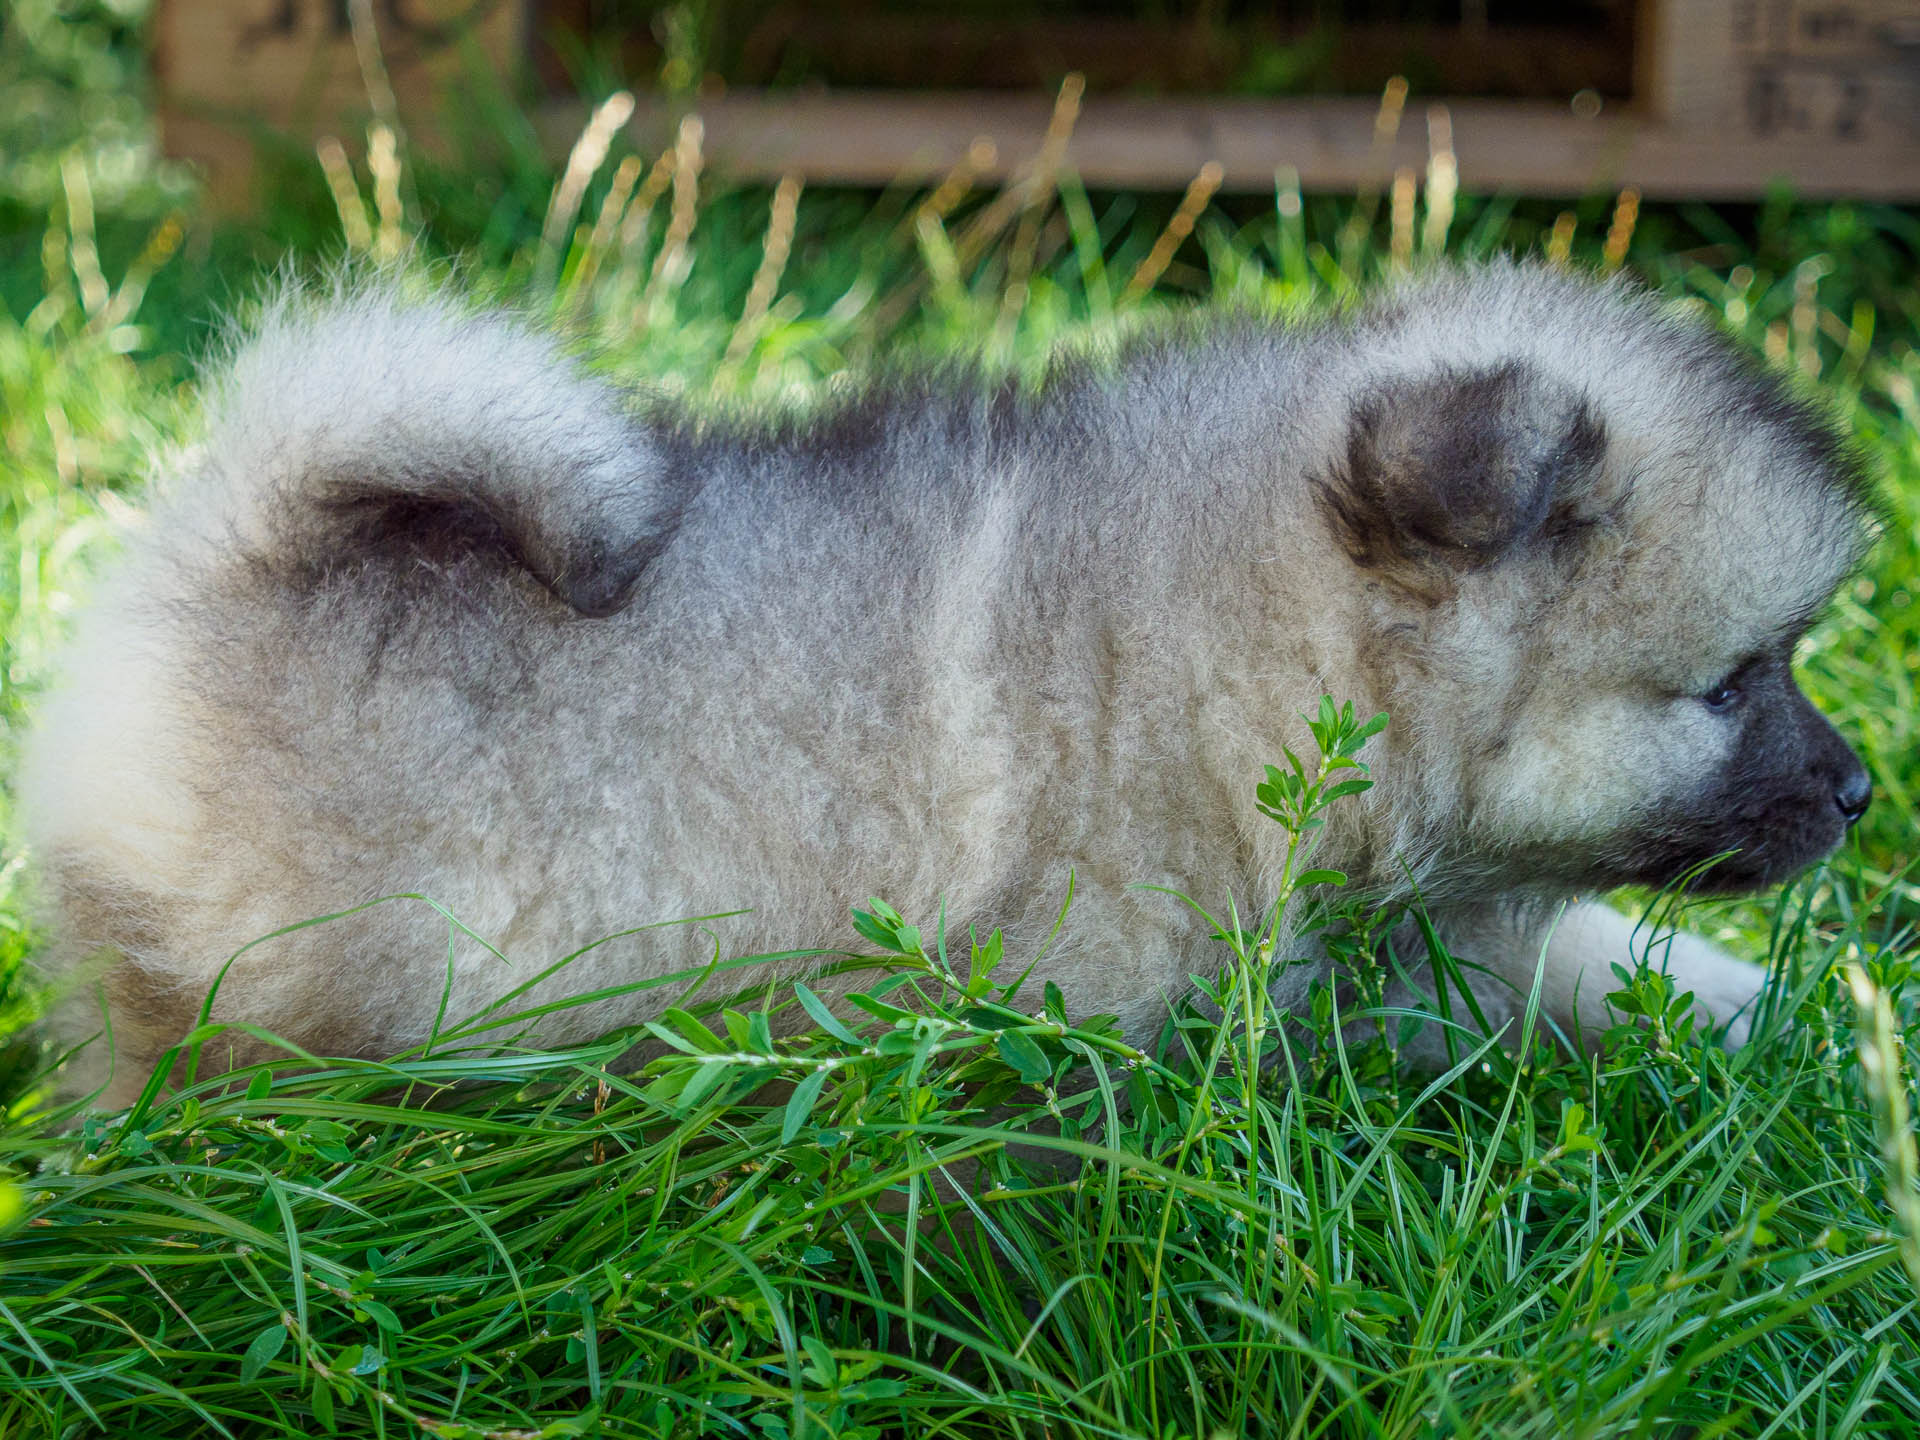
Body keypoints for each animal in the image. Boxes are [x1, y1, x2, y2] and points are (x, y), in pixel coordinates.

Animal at [22, 264, 1866, 1113]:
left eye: (1787, 663)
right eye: (1730, 685)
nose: (1859, 791)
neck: (1264, 657)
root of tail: (234, 541)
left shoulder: (1425, 939)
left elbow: (1595, 955)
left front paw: (1797, 1027)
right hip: (283, 985)